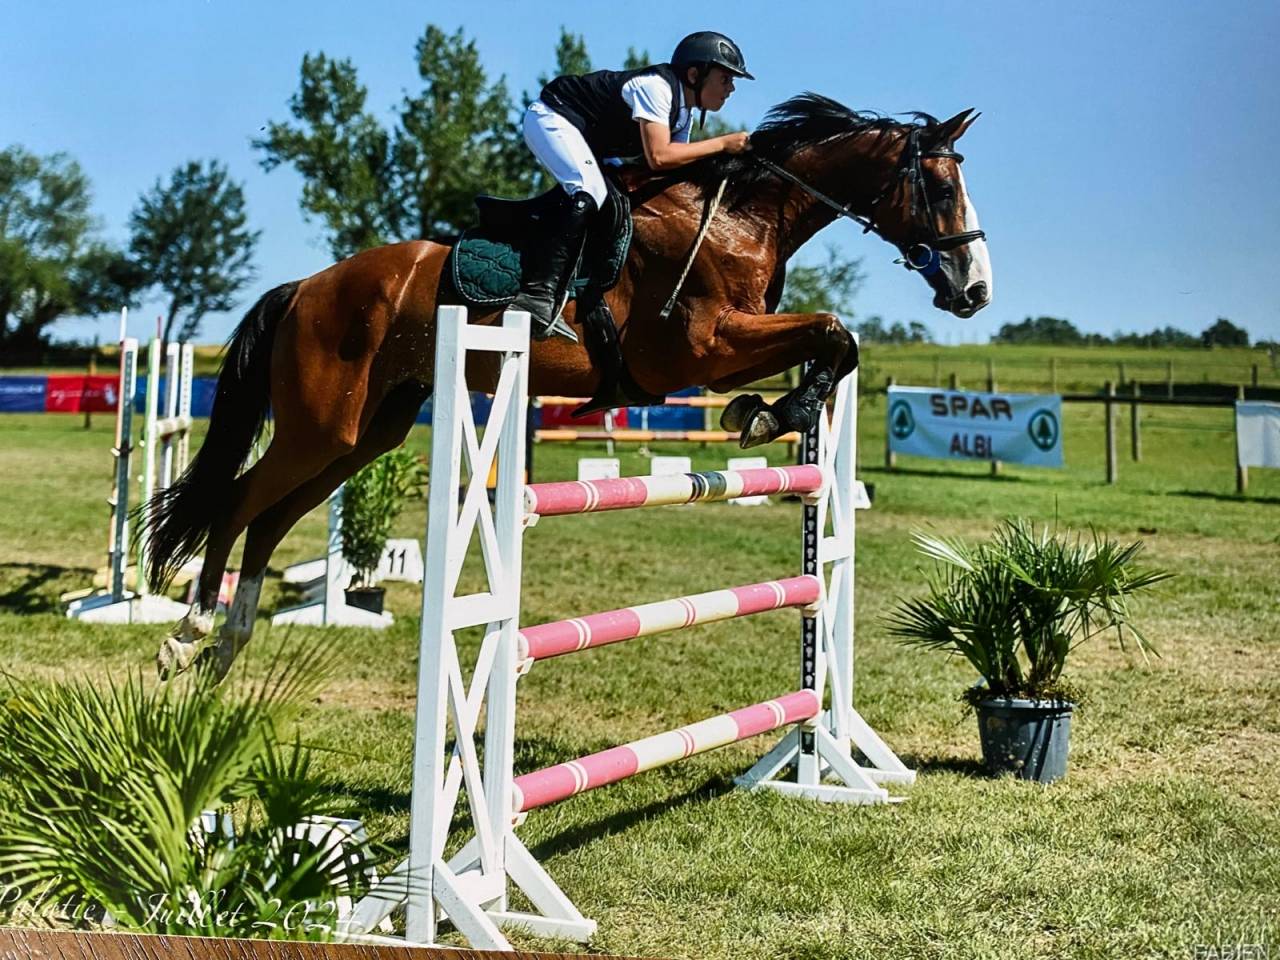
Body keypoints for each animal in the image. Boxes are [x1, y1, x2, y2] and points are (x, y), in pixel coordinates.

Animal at [143, 93, 991, 679]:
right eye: (941, 187)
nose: (974, 289)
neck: (743, 216)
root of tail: (308, 287)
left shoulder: (722, 351)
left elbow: (833, 341)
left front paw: (764, 411)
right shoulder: (699, 349)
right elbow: (834, 331)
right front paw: (770, 413)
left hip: (363, 435)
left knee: (268, 517)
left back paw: (228, 643)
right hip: (321, 427)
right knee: (237, 502)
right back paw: (187, 635)